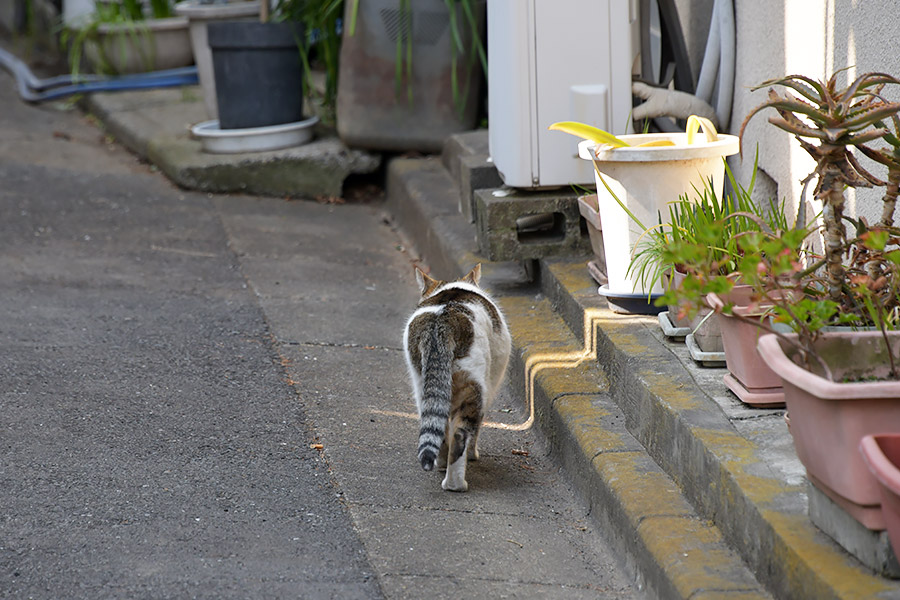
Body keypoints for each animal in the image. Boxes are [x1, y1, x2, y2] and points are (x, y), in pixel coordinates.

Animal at [402, 264, 510, 490]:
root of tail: (440, 323)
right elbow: (476, 429)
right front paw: (473, 455)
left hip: (423, 384)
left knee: (439, 426)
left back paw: (442, 464)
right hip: (474, 385)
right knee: (461, 433)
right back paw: (456, 484)